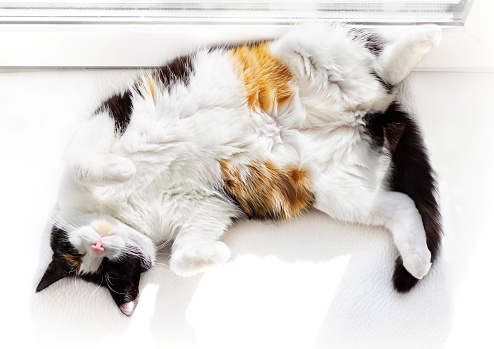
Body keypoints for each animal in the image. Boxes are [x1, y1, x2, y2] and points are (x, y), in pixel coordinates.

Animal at [36, 23, 442, 314]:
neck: (124, 208)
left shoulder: (104, 120)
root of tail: (370, 116)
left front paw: (121, 169)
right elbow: (181, 258)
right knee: (401, 204)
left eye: (82, 253)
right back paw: (418, 261)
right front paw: (218, 256)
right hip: (337, 192)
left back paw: (421, 40)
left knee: (380, 72)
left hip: (301, 46)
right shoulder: (204, 207)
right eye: (107, 268)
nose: (99, 243)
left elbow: (82, 163)